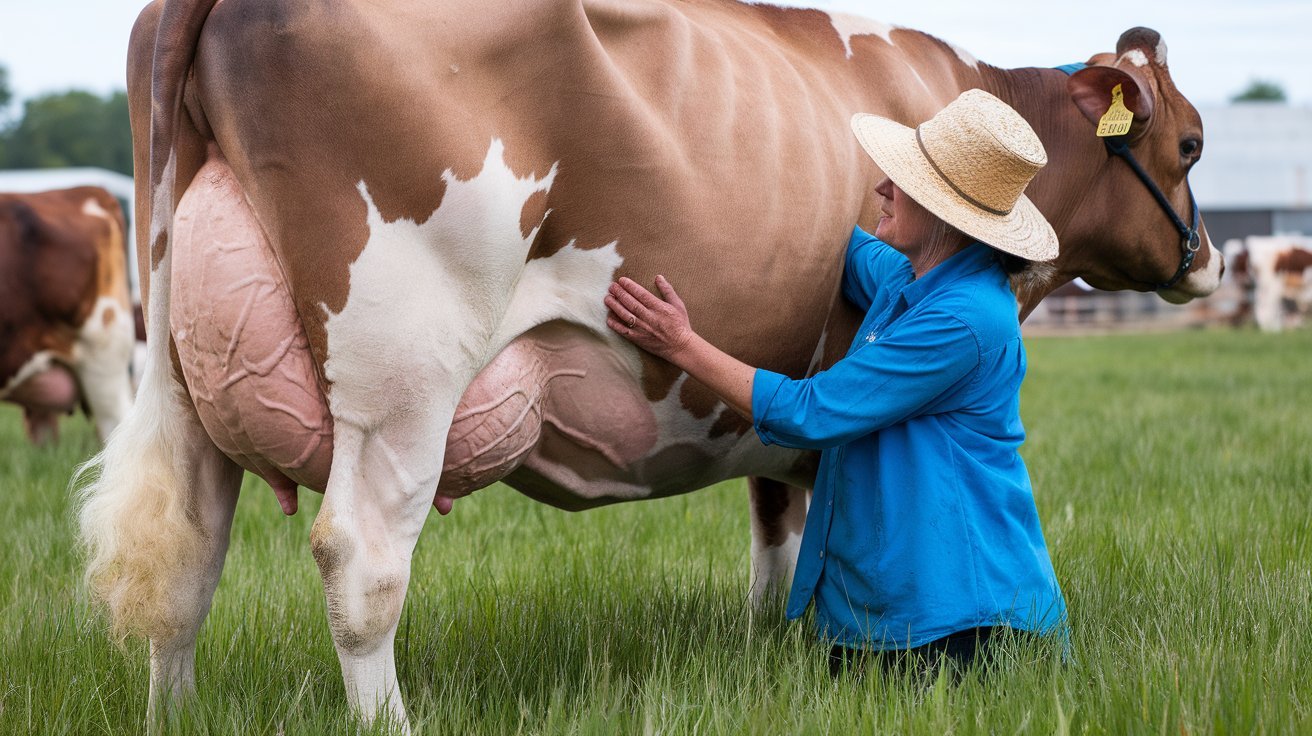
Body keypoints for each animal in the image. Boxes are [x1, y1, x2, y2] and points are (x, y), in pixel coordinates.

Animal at [78, 0, 1222, 729]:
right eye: (1192, 145)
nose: (1206, 260)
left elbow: (777, 518)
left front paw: (768, 645)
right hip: (405, 359)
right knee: (360, 557)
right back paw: (389, 722)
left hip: (179, 363)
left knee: (186, 557)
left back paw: (173, 713)